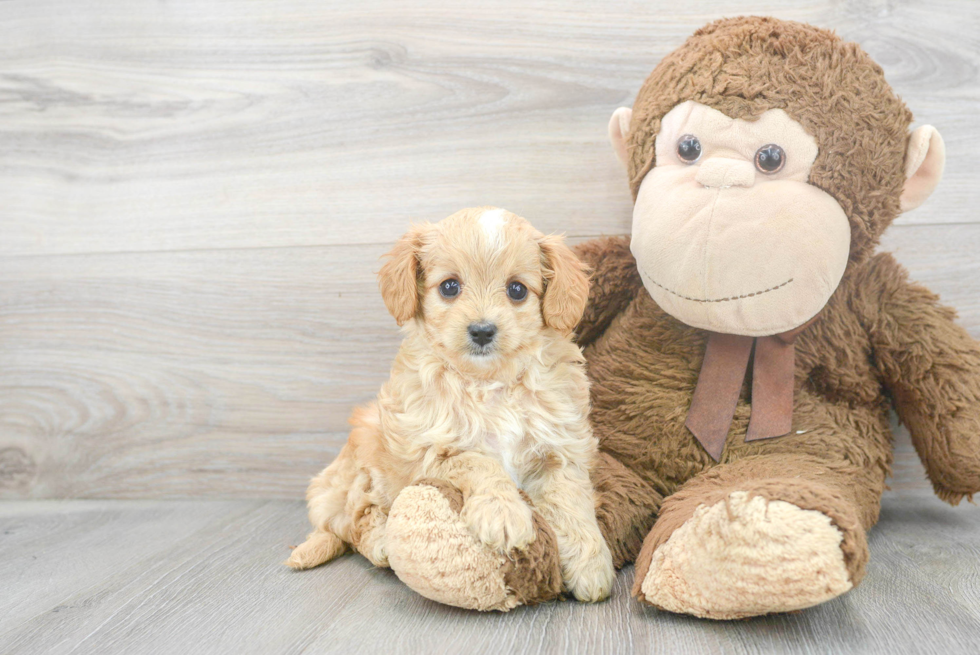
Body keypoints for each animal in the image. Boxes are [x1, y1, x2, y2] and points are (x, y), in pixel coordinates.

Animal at [284, 208, 616, 604]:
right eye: (449, 287)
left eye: (517, 290)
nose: (482, 330)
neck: (488, 383)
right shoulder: (430, 450)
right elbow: (479, 461)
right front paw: (504, 513)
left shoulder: (559, 448)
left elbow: (571, 501)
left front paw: (591, 564)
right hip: (364, 460)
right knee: (357, 520)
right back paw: (380, 544)